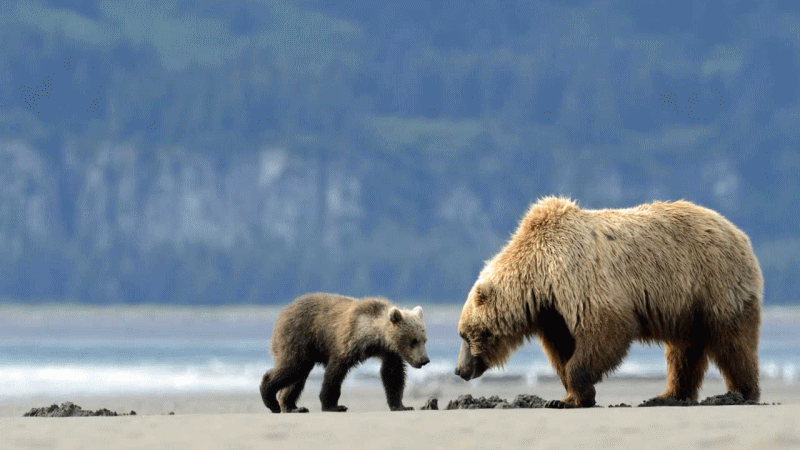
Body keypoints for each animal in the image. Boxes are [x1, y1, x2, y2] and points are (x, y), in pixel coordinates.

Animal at [456, 197, 764, 408]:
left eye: (464, 335)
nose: (459, 370)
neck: (540, 278)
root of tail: (740, 233)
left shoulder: (579, 279)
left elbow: (606, 330)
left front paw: (572, 395)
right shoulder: (553, 312)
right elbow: (562, 349)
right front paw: (568, 396)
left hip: (715, 283)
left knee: (732, 341)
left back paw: (741, 392)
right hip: (686, 306)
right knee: (684, 351)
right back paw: (669, 395)